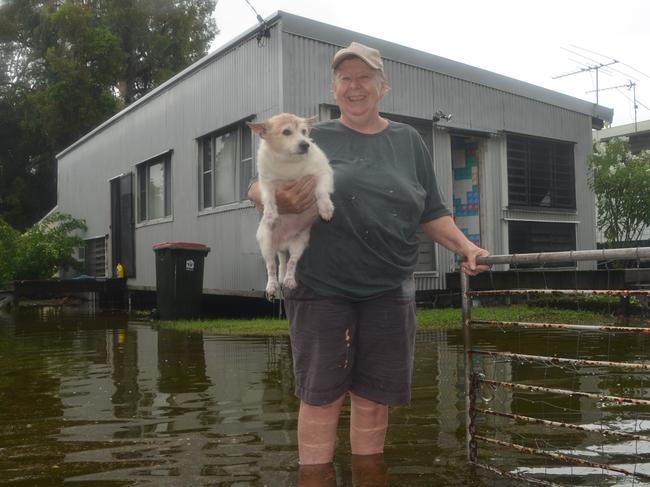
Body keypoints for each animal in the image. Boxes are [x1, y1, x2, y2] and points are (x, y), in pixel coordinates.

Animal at [246, 113, 332, 300]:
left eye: (304, 132)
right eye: (286, 132)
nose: (305, 144)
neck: (289, 162)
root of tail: (283, 245)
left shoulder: (322, 173)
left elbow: (322, 191)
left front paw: (325, 208)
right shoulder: (266, 182)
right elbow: (269, 198)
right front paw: (270, 213)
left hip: (299, 243)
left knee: (291, 263)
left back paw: (289, 280)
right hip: (267, 243)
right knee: (271, 266)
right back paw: (271, 285)